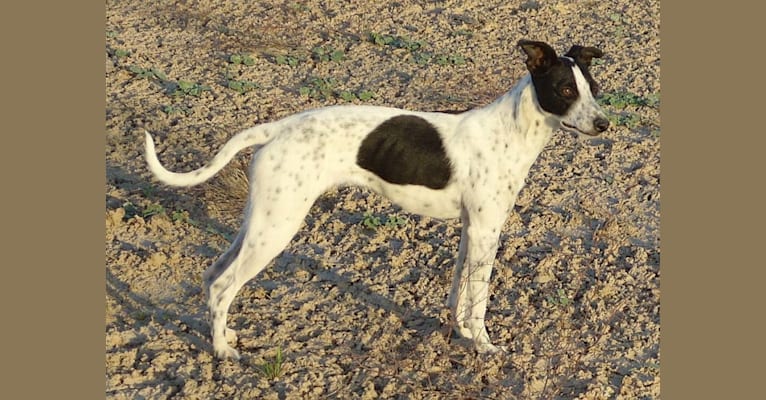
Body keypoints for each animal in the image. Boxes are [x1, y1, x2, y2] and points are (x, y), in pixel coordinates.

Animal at [144, 39, 612, 360]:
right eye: (564, 90)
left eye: (593, 87)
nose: (604, 124)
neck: (509, 130)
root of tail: (276, 128)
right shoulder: (486, 231)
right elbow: (478, 301)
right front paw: (483, 346)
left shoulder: (471, 229)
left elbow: (459, 292)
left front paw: (460, 333)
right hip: (276, 228)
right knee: (224, 284)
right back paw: (223, 353)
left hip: (260, 222)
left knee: (212, 276)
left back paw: (222, 336)